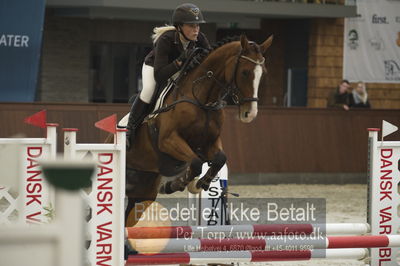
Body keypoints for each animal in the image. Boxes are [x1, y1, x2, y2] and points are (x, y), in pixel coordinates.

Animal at [122, 34, 272, 227]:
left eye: (263, 74)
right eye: (245, 72)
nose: (250, 114)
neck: (202, 100)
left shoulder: (210, 142)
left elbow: (220, 159)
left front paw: (202, 183)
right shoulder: (168, 140)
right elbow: (195, 162)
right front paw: (174, 185)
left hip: (143, 191)